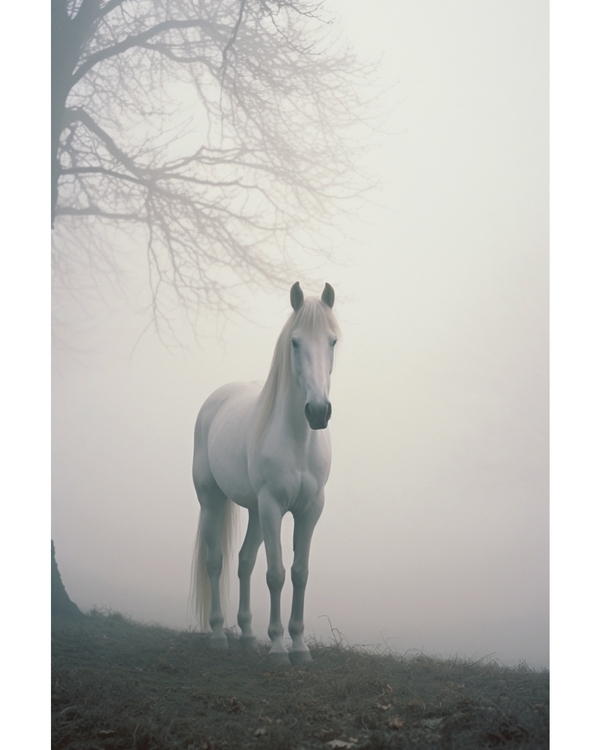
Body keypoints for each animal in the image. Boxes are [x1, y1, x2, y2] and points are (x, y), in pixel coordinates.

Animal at [191, 282, 340, 665]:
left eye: (332, 341)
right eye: (295, 342)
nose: (318, 411)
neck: (298, 440)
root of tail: (216, 399)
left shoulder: (310, 510)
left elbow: (299, 573)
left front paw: (299, 646)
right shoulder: (273, 506)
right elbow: (276, 574)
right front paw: (277, 648)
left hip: (256, 513)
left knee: (244, 562)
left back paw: (246, 634)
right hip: (213, 501)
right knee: (216, 562)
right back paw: (219, 635)